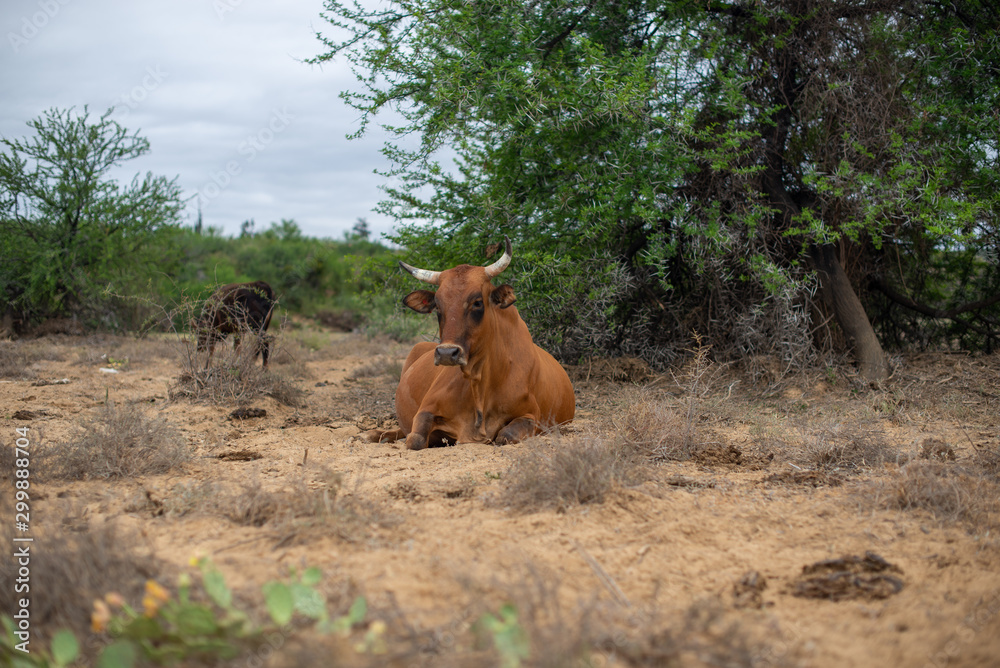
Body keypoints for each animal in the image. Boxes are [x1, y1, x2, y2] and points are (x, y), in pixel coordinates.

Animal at [371, 237, 575, 450]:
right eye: (437, 305)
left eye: (477, 302)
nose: (447, 353)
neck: (480, 385)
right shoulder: (425, 411)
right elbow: (416, 439)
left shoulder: (531, 416)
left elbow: (506, 435)